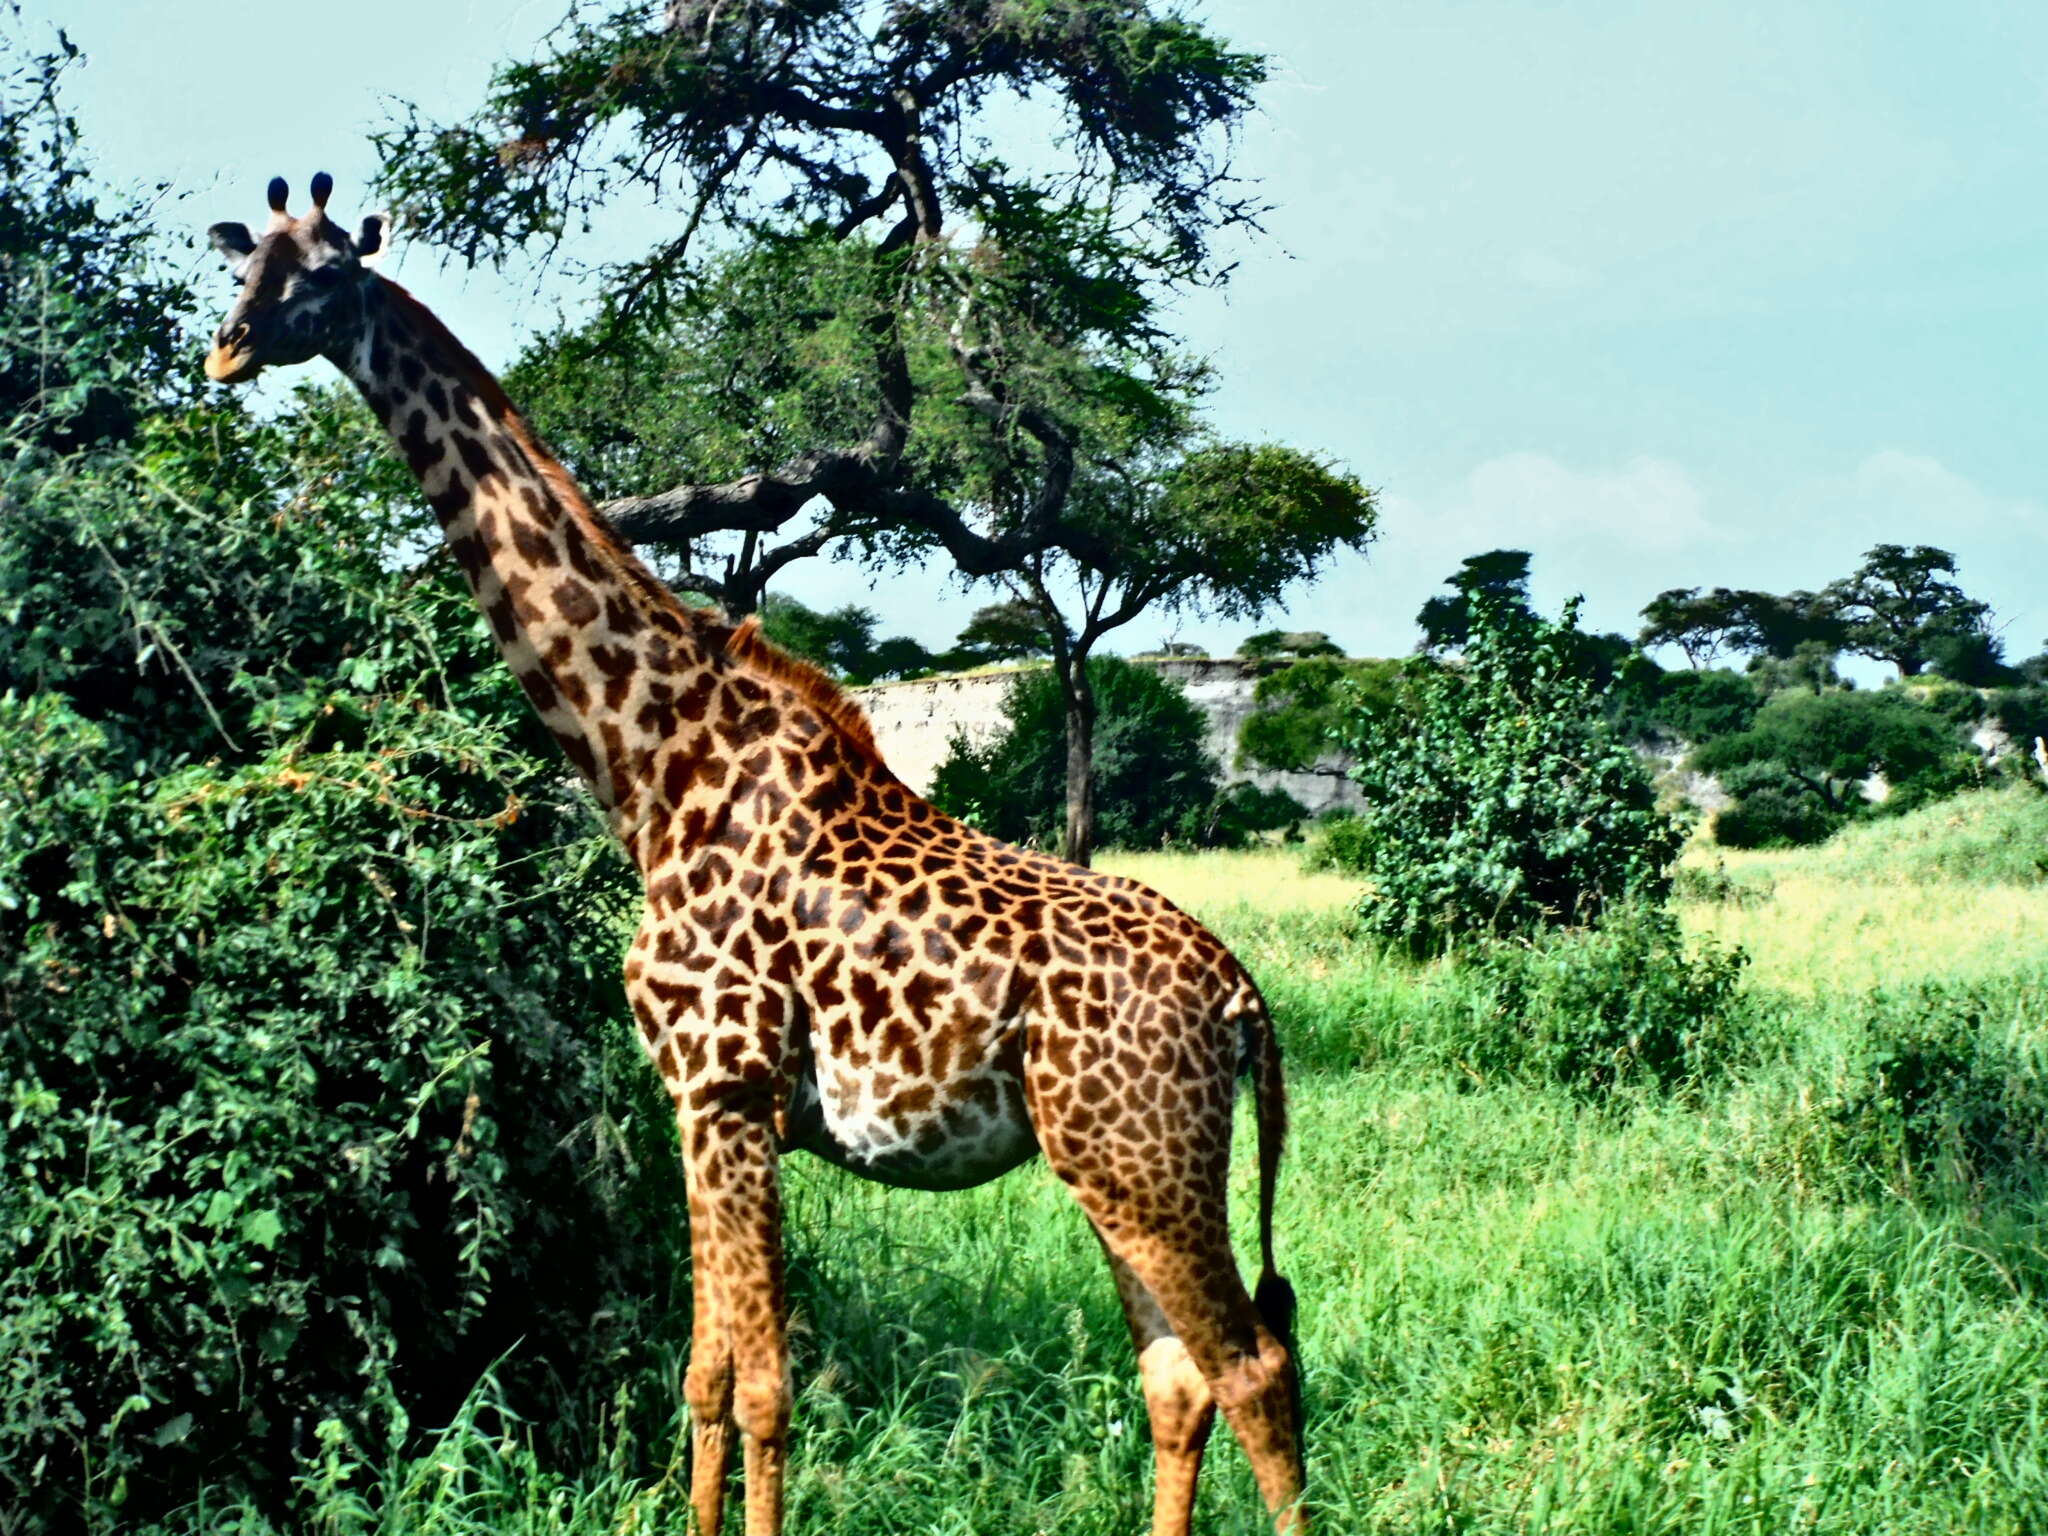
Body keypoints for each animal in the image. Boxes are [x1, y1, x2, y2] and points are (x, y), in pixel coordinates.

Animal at [203, 174, 1294, 1531]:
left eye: (324, 274)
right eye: (247, 265)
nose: (224, 347)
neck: (649, 763)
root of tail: (1241, 999)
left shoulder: (723, 1085)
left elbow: (767, 1386)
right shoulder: (693, 1098)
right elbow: (705, 1376)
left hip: (1142, 1160)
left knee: (1252, 1372)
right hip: (1113, 1162)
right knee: (1177, 1379)